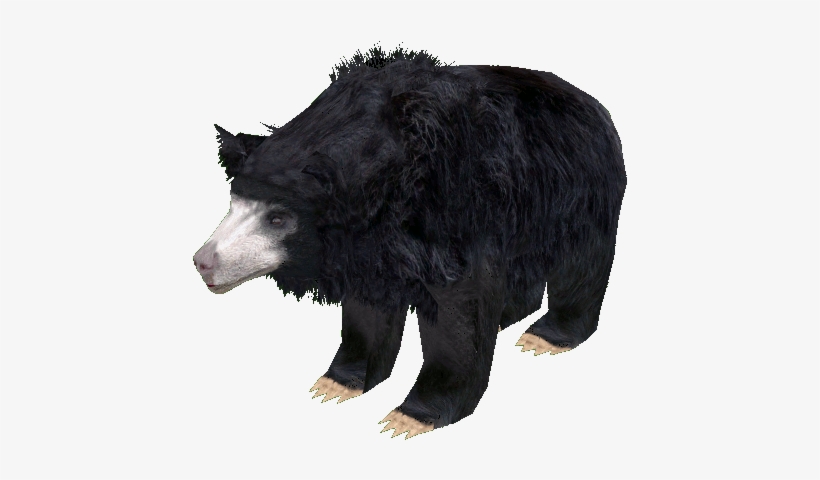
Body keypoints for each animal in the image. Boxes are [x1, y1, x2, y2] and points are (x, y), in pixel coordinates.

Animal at [193, 45, 626, 439]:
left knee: (582, 261)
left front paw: (411, 418)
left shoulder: (455, 217)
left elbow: (459, 309)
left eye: (278, 219)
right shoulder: (368, 250)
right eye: (234, 202)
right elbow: (368, 312)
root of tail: (596, 106)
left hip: (580, 194)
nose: (203, 261)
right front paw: (337, 385)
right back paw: (508, 316)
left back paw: (547, 337)